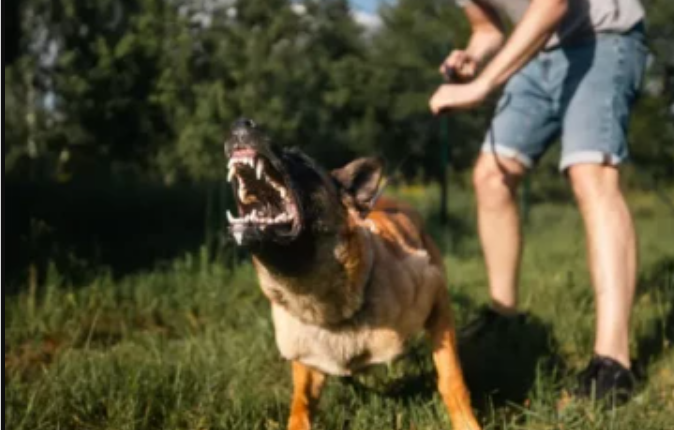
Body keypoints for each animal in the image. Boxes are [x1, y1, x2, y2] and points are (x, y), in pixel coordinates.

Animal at [224, 118, 481, 430]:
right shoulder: (307, 362)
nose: (241, 123)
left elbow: (450, 377)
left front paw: (466, 422)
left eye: (299, 159)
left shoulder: (437, 300)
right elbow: (300, 404)